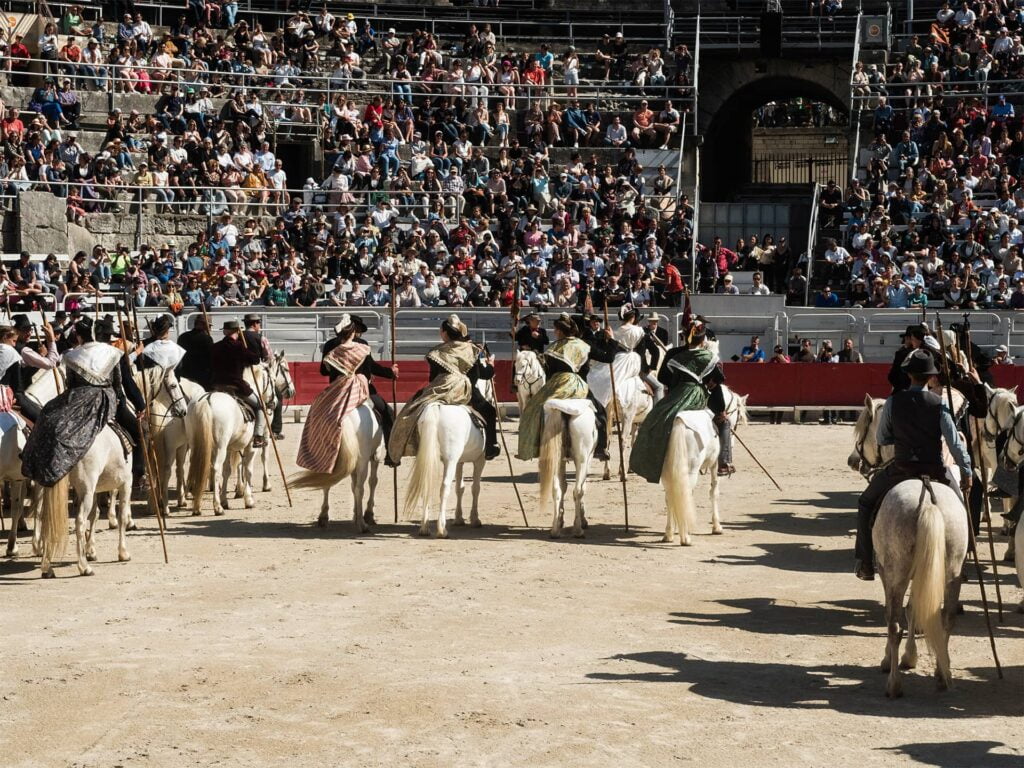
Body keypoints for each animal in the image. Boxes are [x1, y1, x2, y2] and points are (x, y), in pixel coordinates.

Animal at [290, 403, 385, 536]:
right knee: (360, 489)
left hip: (328, 459)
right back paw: (362, 525)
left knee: (326, 484)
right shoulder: (376, 455)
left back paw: (323, 517)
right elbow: (372, 482)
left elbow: (352, 486)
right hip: (363, 460)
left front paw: (356, 515)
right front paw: (367, 514)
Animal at [401, 403, 485, 540]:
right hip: (451, 460)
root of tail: (437, 407)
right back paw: (442, 529)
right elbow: (475, 488)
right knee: (445, 487)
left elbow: (460, 488)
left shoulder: (459, 462)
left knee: (426, 485)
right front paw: (475, 519)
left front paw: (459, 518)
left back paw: (424, 528)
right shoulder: (479, 460)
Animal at [536, 399, 598, 536]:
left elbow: (563, 486)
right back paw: (578, 530)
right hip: (582, 459)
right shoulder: (588, 458)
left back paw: (555, 530)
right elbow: (582, 488)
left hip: (556, 458)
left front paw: (560, 520)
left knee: (556, 490)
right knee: (577, 490)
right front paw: (582, 521)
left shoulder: (562, 461)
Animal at [659, 409, 724, 548]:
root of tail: (678, 422)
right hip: (691, 471)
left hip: (667, 473)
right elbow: (714, 492)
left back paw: (669, 534)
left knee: (670, 497)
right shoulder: (715, 464)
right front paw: (717, 527)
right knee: (684, 493)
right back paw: (685, 538)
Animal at [872, 483, 966, 700]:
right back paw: (942, 674)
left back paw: (894, 685)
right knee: (947, 620)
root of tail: (928, 503)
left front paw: (890, 659)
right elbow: (913, 609)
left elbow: (893, 615)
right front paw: (910, 656)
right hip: (952, 573)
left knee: (894, 626)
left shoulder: (884, 572)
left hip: (897, 573)